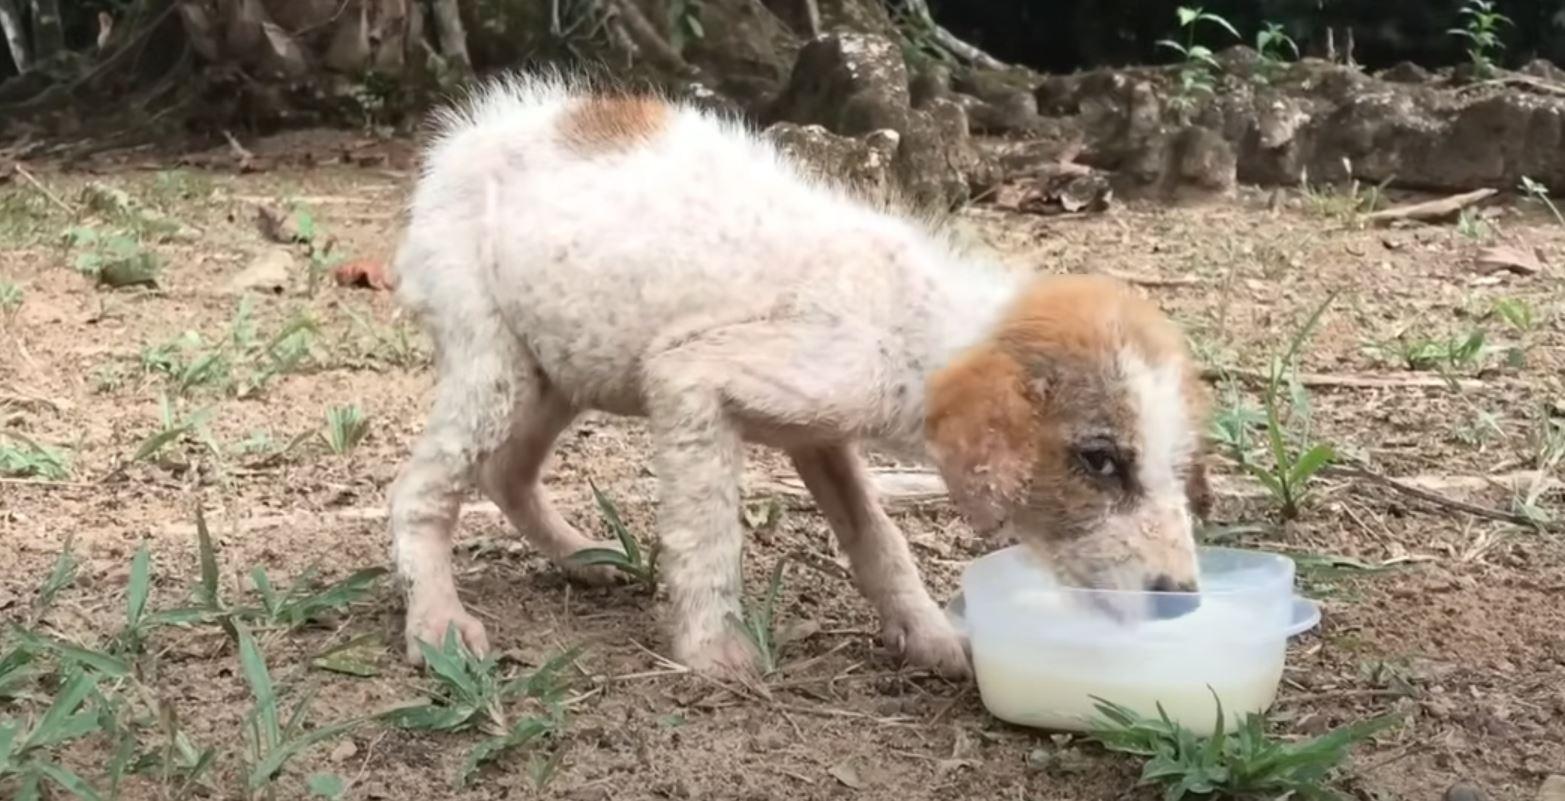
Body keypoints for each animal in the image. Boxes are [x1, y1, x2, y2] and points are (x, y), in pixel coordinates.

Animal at [381, 71, 1208, 678]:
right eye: (1099, 460)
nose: (1181, 602)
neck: (918, 324)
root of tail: (474, 129)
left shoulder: (819, 432)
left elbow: (878, 537)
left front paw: (929, 634)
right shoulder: (690, 377)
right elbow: (707, 530)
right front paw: (712, 649)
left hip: (558, 368)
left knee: (506, 472)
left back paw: (580, 557)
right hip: (492, 359)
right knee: (421, 492)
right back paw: (436, 618)